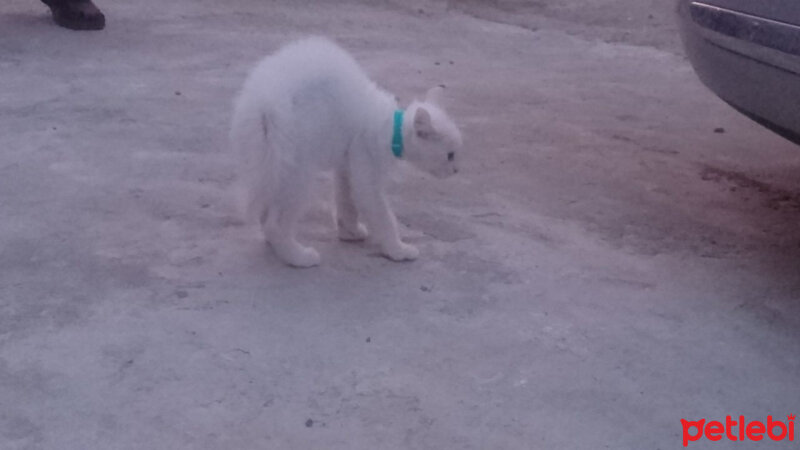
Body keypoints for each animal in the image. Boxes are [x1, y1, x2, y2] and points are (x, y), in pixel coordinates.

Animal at [228, 37, 462, 268]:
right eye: (450, 155)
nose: (457, 170)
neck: (389, 128)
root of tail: (267, 100)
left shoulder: (346, 167)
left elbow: (346, 202)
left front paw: (350, 232)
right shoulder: (366, 175)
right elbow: (384, 217)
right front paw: (398, 249)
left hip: (271, 165)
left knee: (266, 210)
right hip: (299, 173)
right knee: (275, 224)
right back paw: (298, 257)